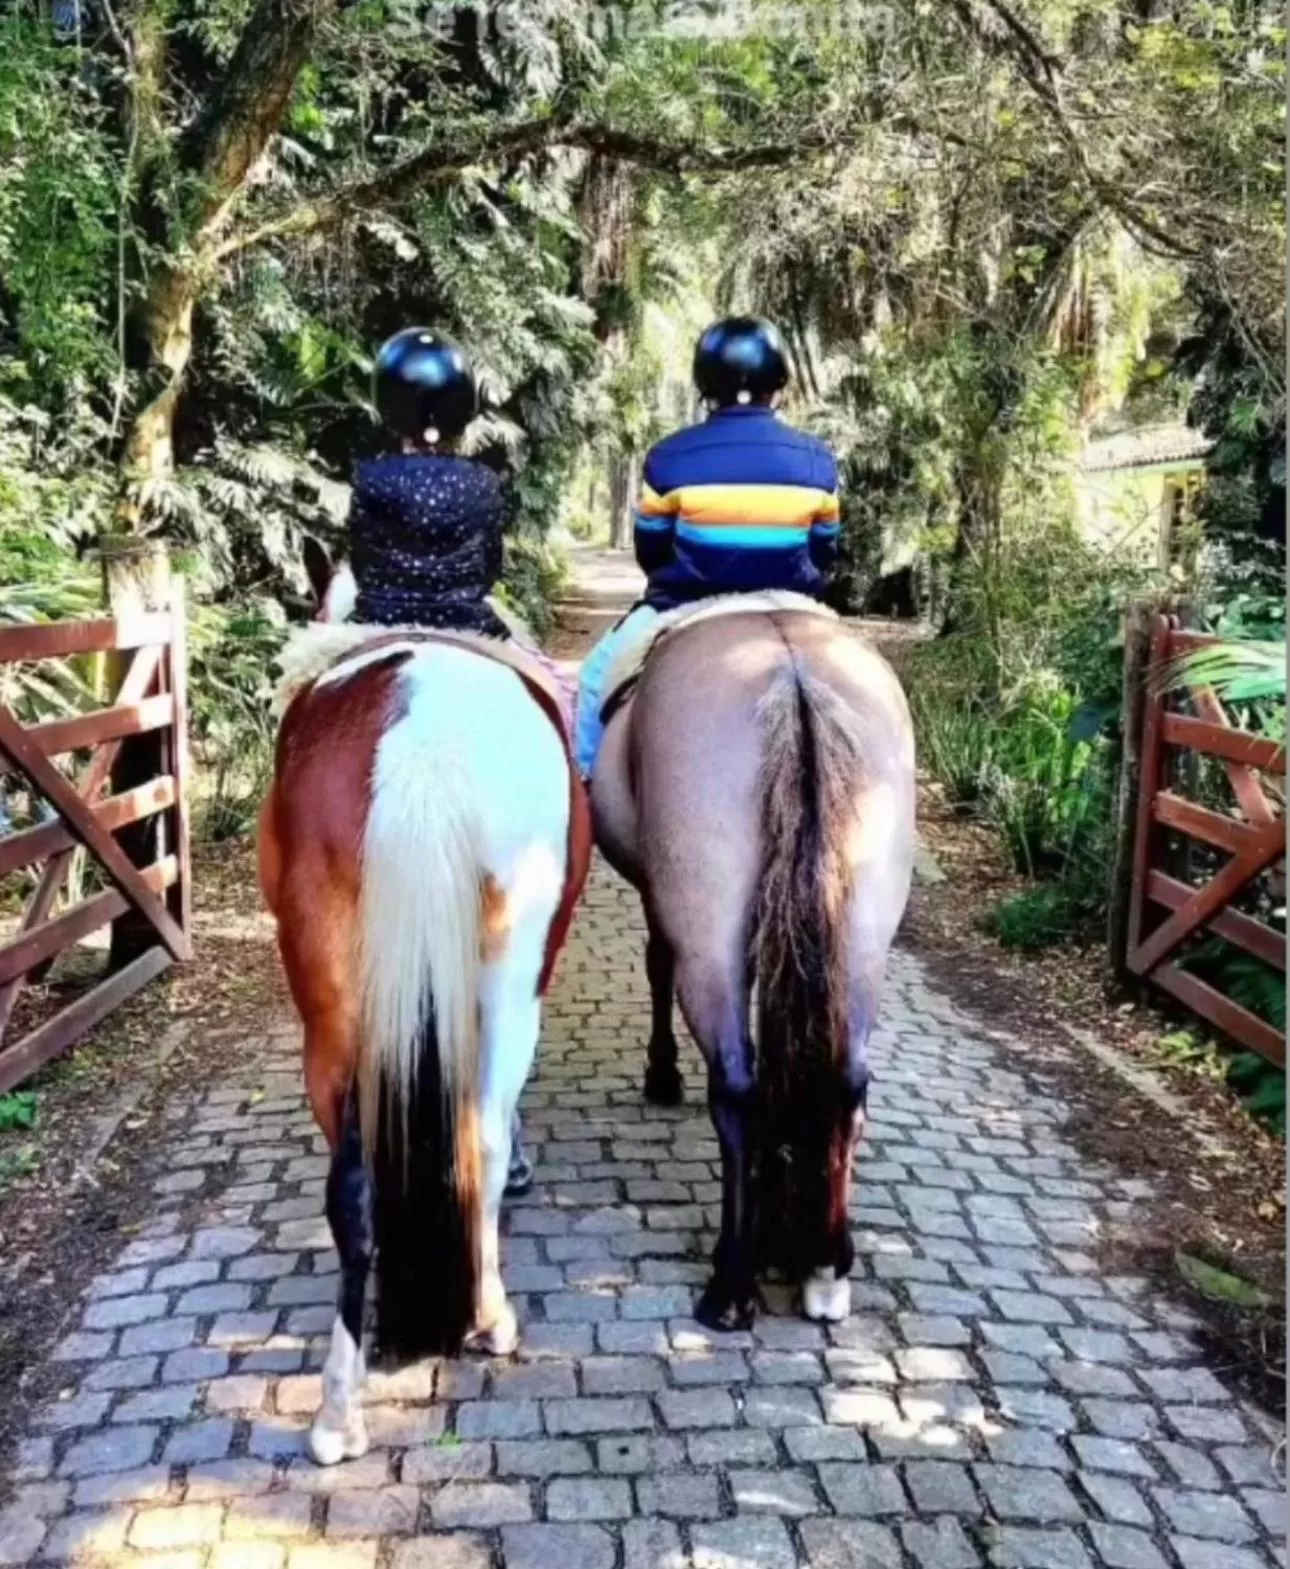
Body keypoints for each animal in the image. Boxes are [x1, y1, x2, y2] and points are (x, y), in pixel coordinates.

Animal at [257, 545, 591, 1464]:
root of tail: (423, 739)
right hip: (512, 980)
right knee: (482, 1128)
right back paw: (490, 1319)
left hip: (332, 1009)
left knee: (355, 1188)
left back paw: (339, 1413)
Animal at [591, 598, 915, 1330]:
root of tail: (793, 674)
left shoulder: (663, 898)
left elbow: (657, 963)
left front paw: (661, 1074)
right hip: (861, 940)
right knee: (846, 1081)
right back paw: (824, 1264)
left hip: (709, 932)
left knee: (735, 1082)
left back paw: (733, 1279)